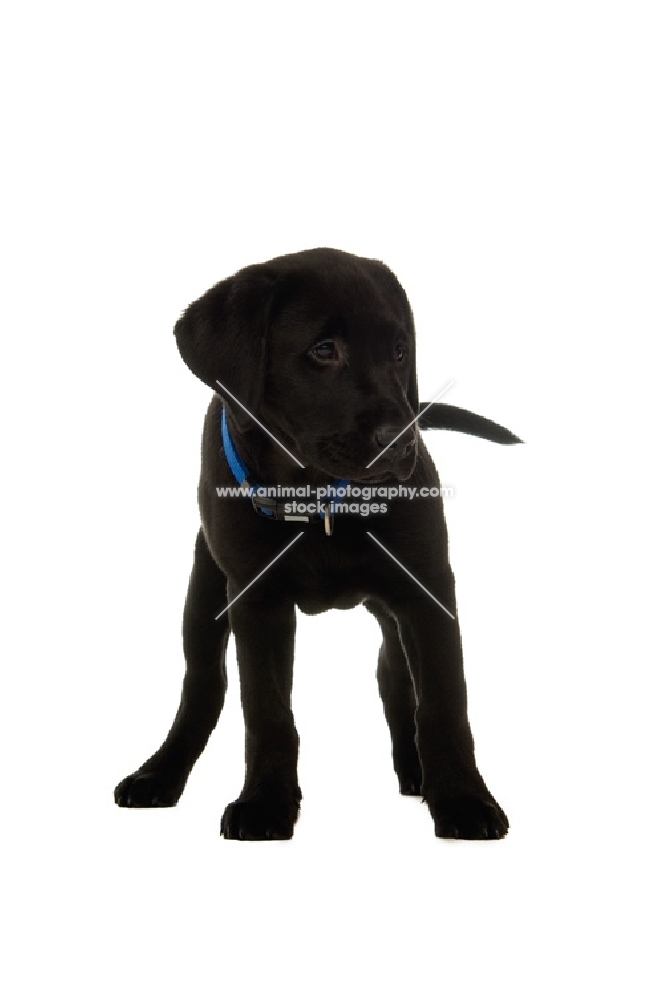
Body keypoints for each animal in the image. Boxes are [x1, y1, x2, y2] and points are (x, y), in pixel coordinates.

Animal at [114, 248, 520, 836]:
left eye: (400, 351)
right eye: (323, 351)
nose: (403, 442)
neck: (321, 499)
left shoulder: (426, 592)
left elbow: (444, 705)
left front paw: (464, 800)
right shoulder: (257, 602)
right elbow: (266, 712)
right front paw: (265, 802)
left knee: (396, 679)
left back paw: (416, 773)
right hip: (205, 591)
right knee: (204, 686)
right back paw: (159, 774)